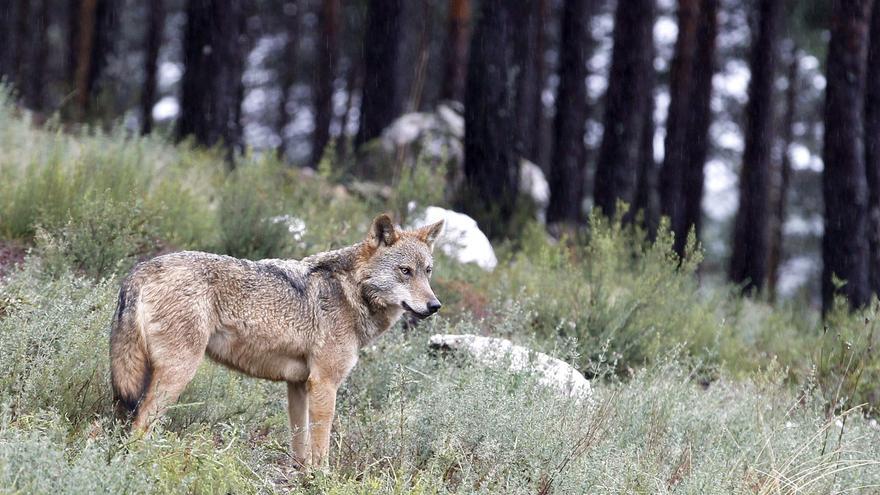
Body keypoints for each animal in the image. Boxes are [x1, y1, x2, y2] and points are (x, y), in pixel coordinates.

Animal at [110, 214, 443, 467]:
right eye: (405, 271)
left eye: (427, 272)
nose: (435, 306)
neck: (351, 292)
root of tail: (140, 269)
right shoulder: (324, 384)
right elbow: (321, 448)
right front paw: (323, 480)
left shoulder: (298, 385)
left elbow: (301, 445)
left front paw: (303, 477)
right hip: (177, 374)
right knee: (140, 426)